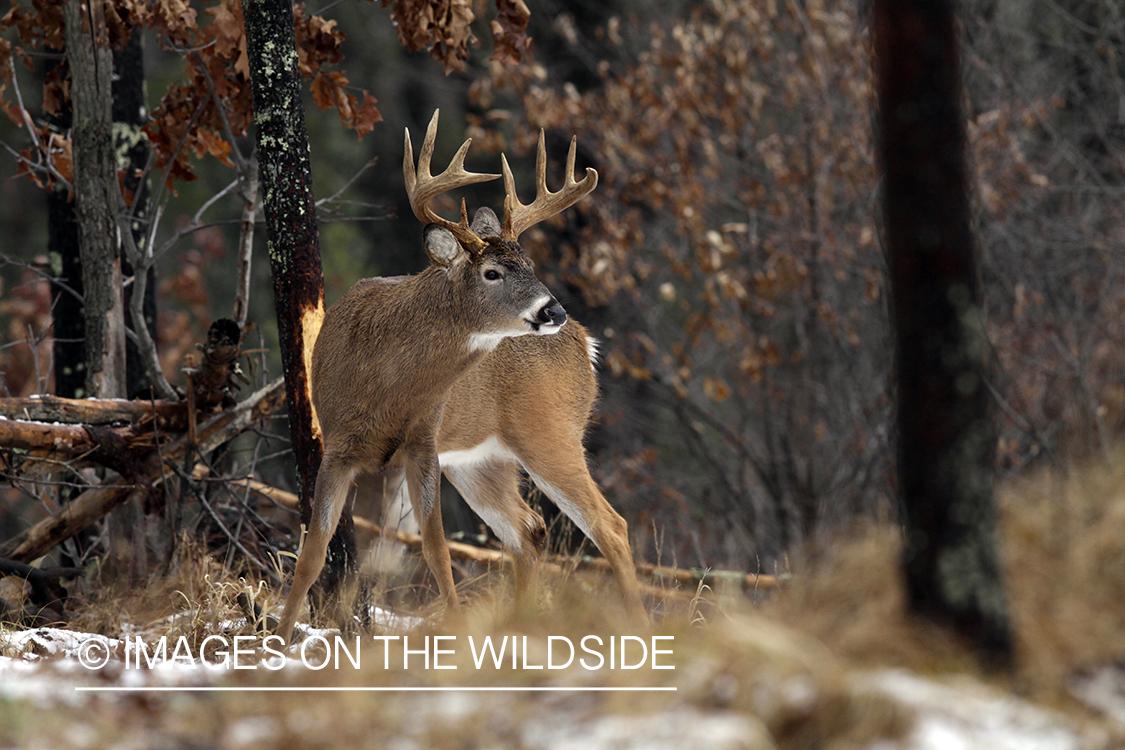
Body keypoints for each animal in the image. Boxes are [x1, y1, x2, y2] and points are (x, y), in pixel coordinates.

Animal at [277, 114, 648, 643]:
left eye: (530, 265)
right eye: (493, 272)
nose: (552, 310)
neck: (387, 383)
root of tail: (585, 344)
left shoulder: (424, 440)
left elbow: (436, 551)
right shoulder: (338, 444)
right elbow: (315, 550)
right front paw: (276, 637)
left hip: (549, 432)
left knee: (609, 526)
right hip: (482, 459)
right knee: (529, 530)